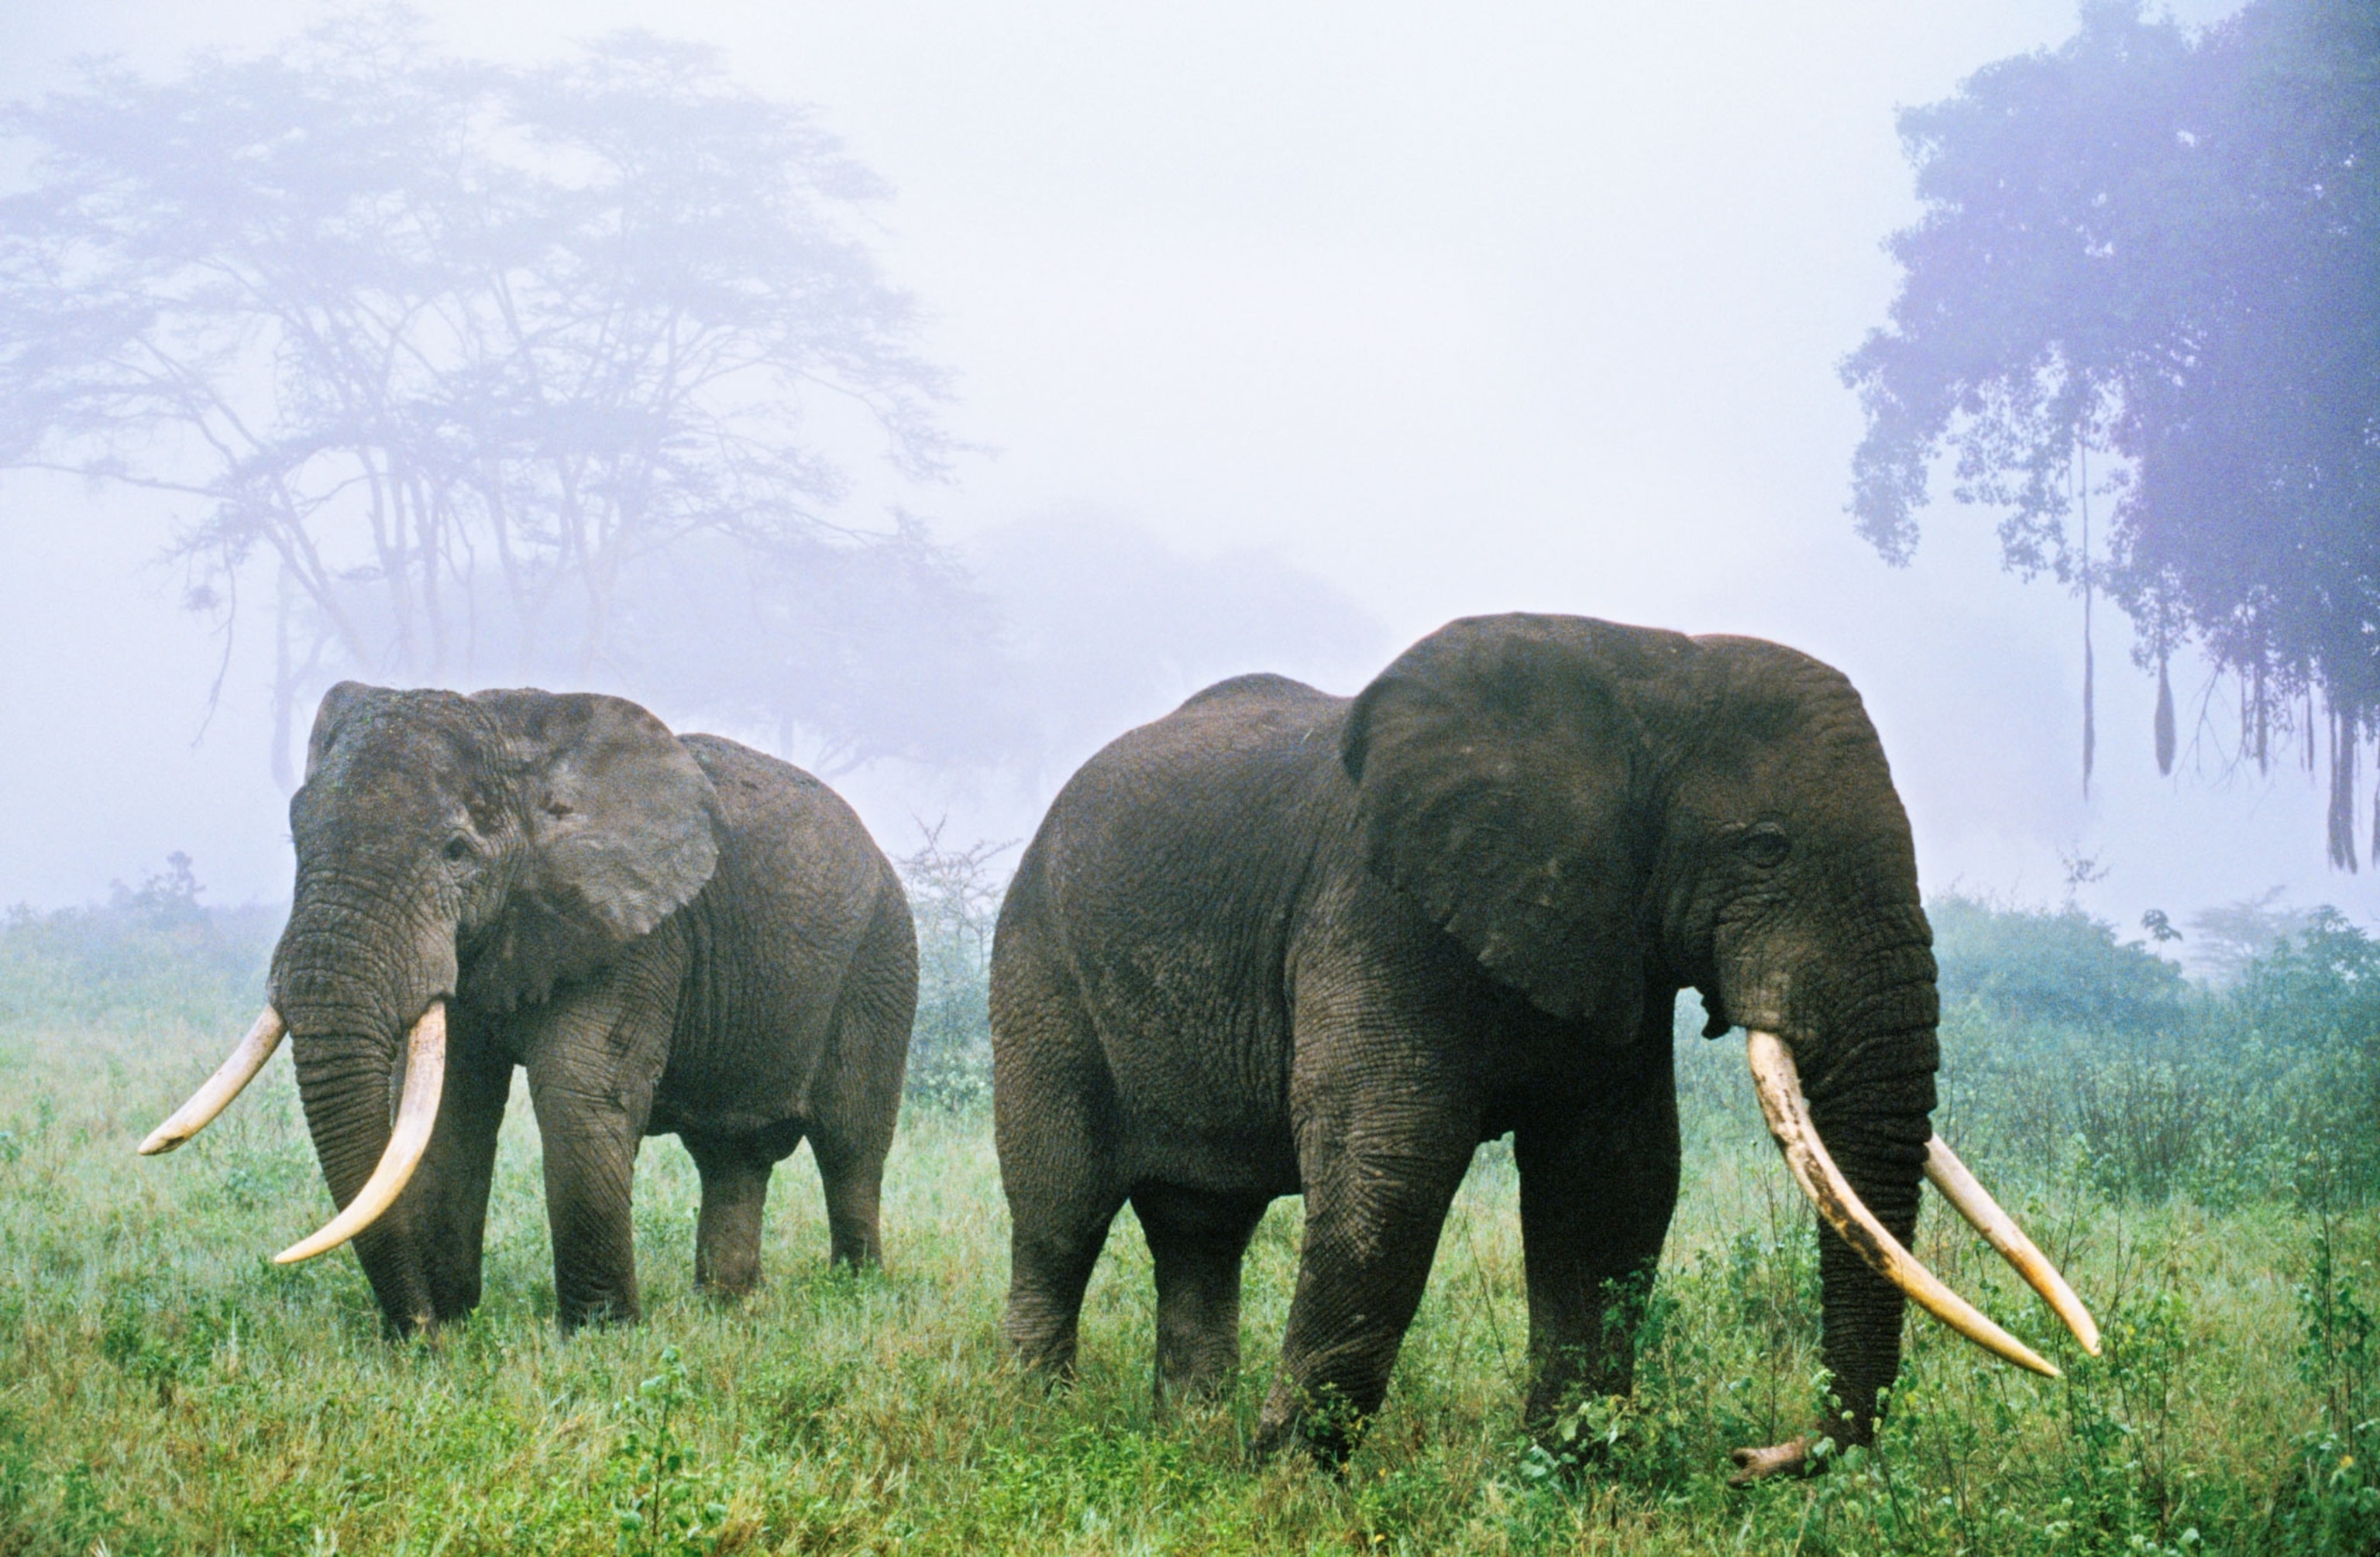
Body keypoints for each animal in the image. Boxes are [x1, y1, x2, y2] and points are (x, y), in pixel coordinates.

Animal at [139, 683, 917, 1335]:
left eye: (457, 852)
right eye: (298, 838)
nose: (417, 1333)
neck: (517, 733)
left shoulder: (634, 929)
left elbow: (579, 1094)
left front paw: (602, 1337)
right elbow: (451, 1110)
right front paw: (456, 1324)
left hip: (883, 957)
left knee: (851, 1143)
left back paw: (853, 1288)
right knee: (733, 1153)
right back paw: (728, 1305)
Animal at [989, 613, 2096, 1478]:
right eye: (1766, 847)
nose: (1758, 1457)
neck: (1645, 666)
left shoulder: (1615, 940)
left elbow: (1612, 1184)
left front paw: (1565, 1473)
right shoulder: (1374, 906)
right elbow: (1388, 1168)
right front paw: (1288, 1483)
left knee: (1202, 1229)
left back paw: (1188, 1436)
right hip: (1037, 962)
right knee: (1060, 1208)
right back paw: (1043, 1428)